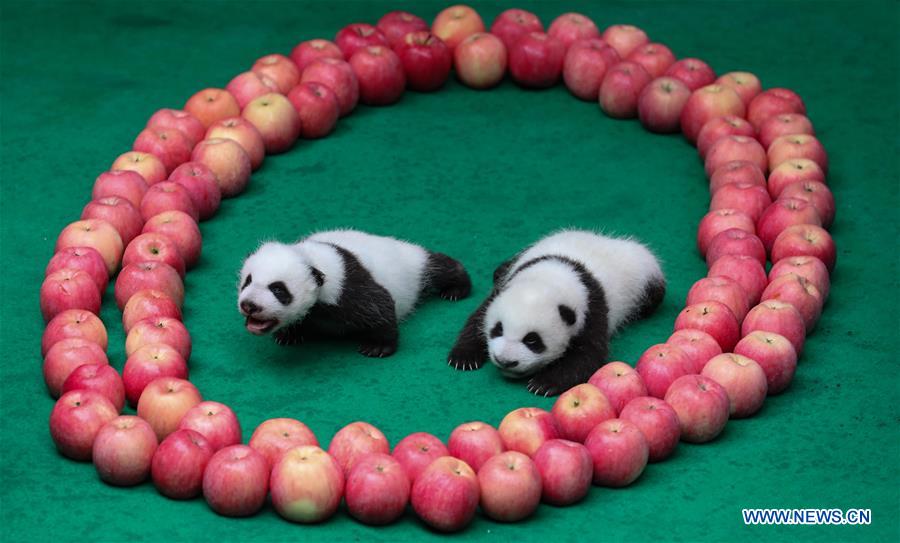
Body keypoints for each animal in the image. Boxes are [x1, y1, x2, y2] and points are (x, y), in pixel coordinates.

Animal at [238, 229, 471, 357]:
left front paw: (378, 346)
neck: (308, 257)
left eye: (278, 289)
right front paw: (290, 334)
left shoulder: (347, 285)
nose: (249, 305)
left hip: (415, 265)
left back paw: (457, 288)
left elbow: (380, 305)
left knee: (438, 266)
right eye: (247, 281)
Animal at [447, 230, 666, 396]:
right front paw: (464, 358)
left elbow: (588, 353)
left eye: (532, 340)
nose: (505, 361)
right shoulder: (504, 286)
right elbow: (478, 317)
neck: (552, 277)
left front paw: (543, 383)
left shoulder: (592, 309)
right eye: (498, 329)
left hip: (646, 278)